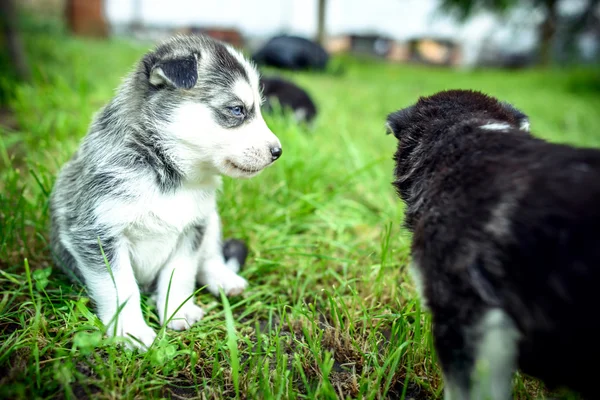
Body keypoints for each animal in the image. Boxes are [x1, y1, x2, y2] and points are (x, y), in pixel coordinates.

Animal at [48, 36, 282, 352]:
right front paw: (130, 330)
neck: (169, 172)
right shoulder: (96, 233)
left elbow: (181, 273)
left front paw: (176, 310)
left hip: (211, 220)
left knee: (210, 258)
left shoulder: (193, 228)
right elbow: (121, 287)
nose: (277, 151)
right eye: (237, 110)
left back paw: (223, 278)